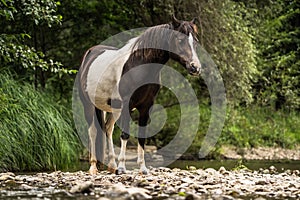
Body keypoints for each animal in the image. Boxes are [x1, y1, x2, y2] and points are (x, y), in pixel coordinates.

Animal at [78, 15, 202, 175]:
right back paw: (94, 167)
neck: (138, 65)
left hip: (113, 108)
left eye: (195, 41)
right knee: (93, 131)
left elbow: (142, 136)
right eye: (180, 40)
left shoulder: (146, 106)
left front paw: (142, 168)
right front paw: (122, 168)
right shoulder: (127, 104)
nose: (195, 67)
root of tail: (90, 54)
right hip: (88, 105)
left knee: (107, 129)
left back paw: (111, 165)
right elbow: (125, 134)